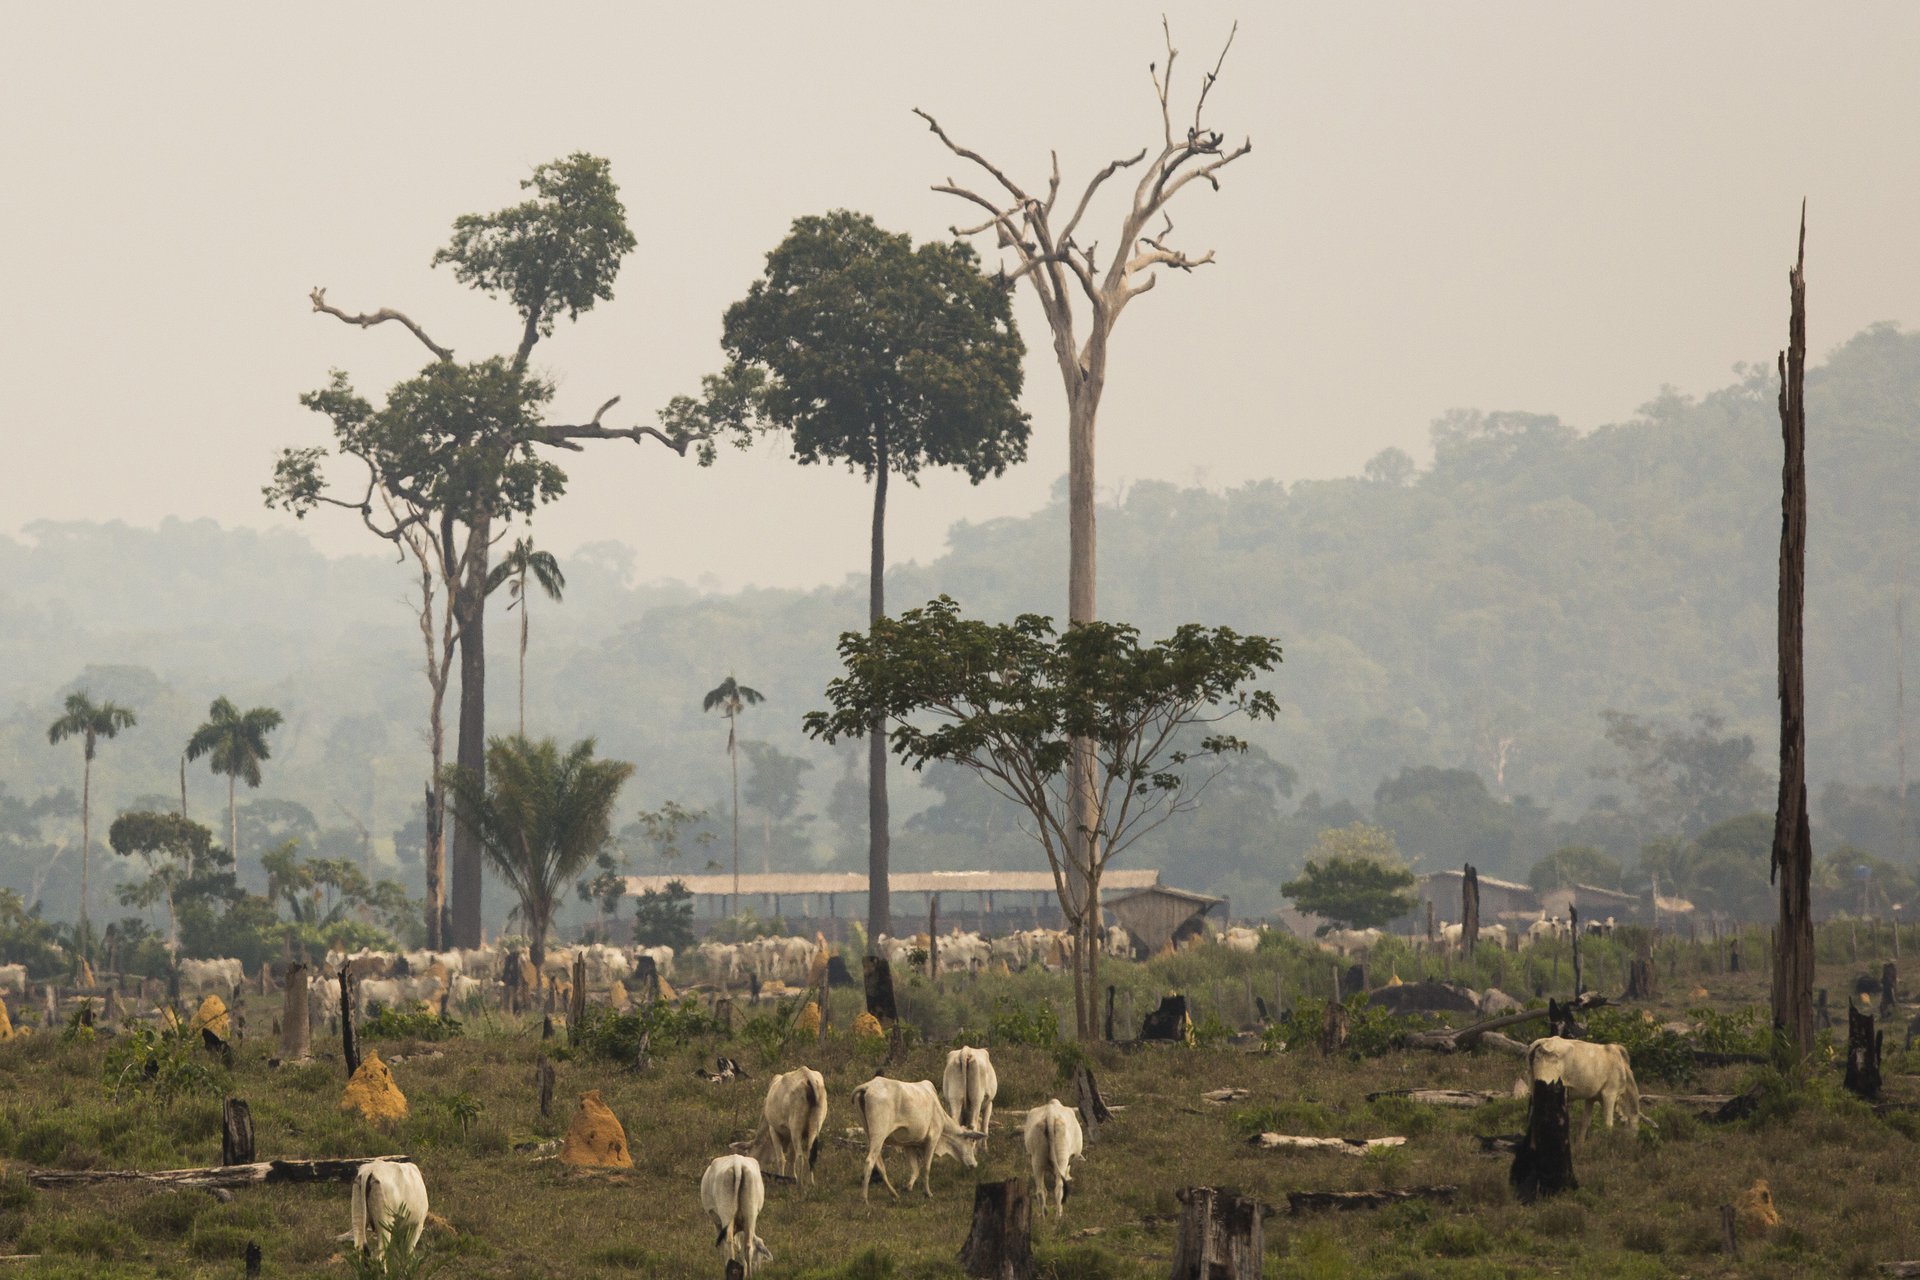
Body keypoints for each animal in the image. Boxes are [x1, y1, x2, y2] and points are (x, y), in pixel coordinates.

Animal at [852, 1082, 983, 1205]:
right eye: (971, 1141)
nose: (975, 1164)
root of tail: (868, 1086)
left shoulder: (909, 1144)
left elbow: (915, 1169)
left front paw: (908, 1187)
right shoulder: (933, 1138)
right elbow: (926, 1167)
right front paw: (927, 1193)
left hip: (870, 1134)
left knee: (879, 1164)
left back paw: (894, 1194)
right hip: (879, 1134)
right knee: (869, 1161)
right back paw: (864, 1199)